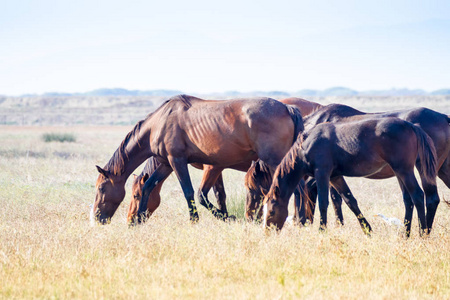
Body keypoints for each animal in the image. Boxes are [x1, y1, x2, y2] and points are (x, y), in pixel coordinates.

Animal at [91, 95, 302, 224]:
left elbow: (190, 192)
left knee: (298, 189)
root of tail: (287, 108)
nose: (97, 218)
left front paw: (196, 220)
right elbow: (149, 185)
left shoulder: (178, 161)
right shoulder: (166, 164)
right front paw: (139, 219)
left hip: (277, 161)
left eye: (101, 188)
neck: (159, 123)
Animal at [264, 117, 436, 237]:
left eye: (271, 212)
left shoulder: (322, 174)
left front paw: (322, 230)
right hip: (400, 173)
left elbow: (323, 203)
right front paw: (367, 230)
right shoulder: (335, 177)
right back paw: (405, 234)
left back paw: (423, 233)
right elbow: (350, 201)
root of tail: (412, 126)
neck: (307, 144)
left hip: (404, 171)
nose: (267, 232)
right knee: (408, 200)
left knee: (418, 196)